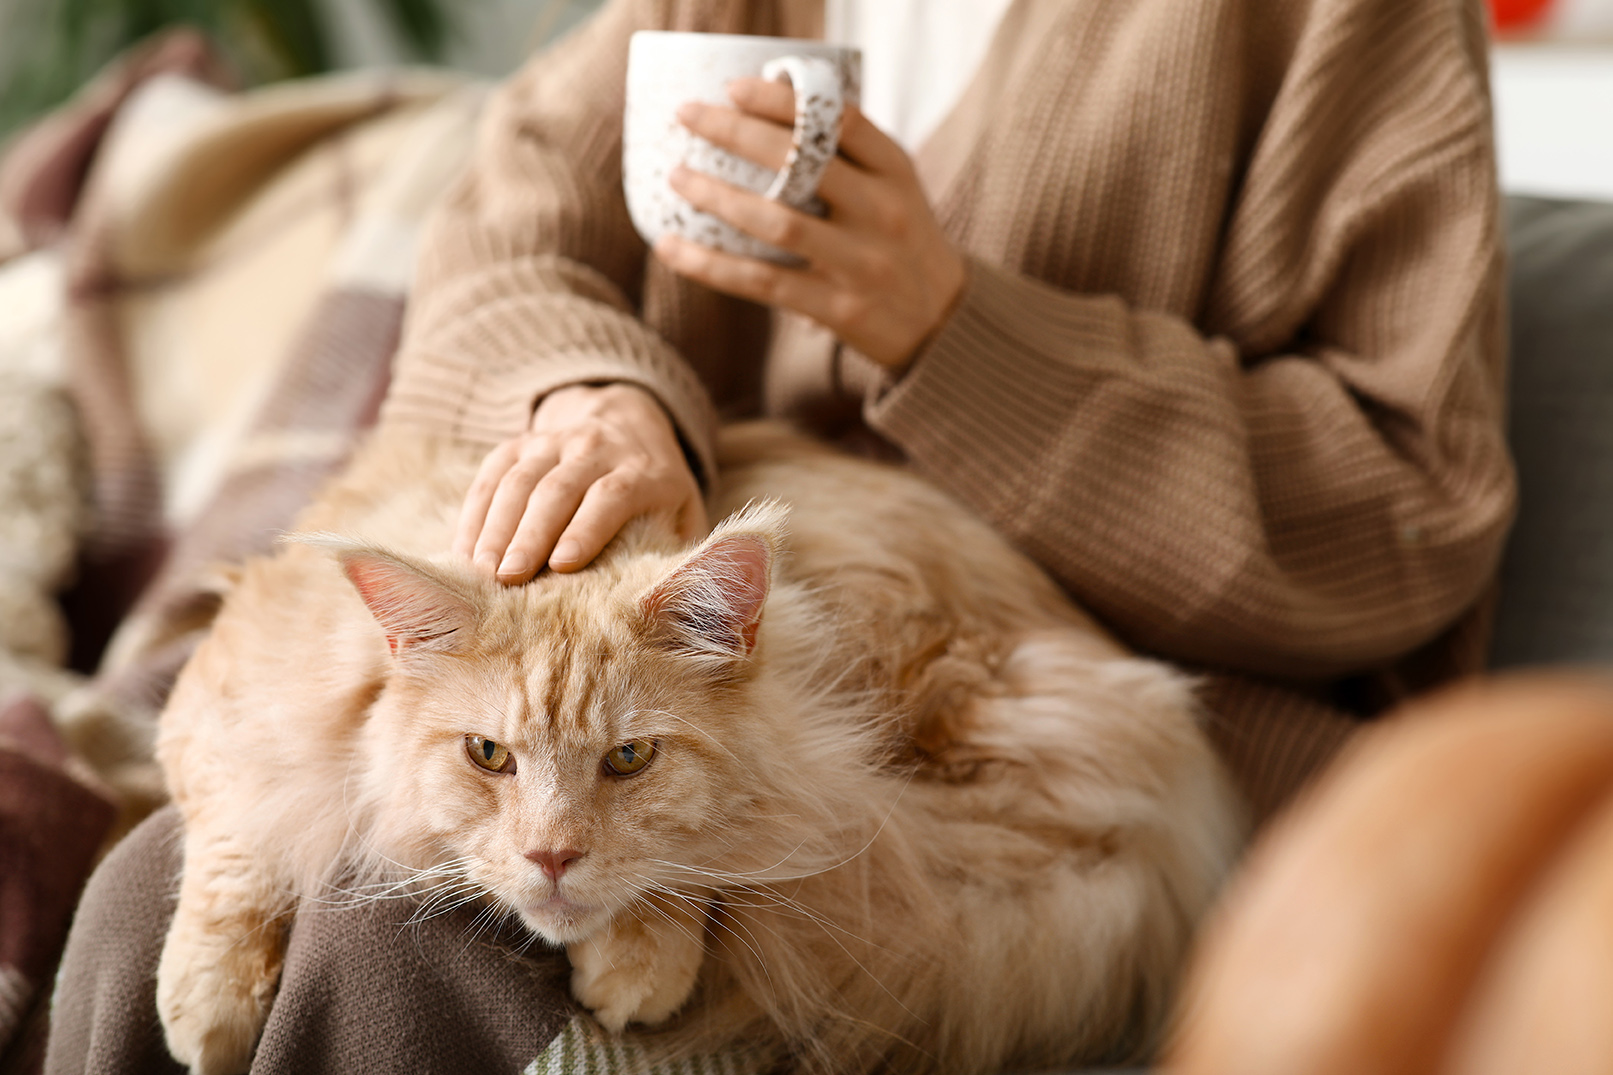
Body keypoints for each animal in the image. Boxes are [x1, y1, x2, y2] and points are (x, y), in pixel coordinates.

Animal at [151, 419, 1238, 1071]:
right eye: (488, 756)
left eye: (630, 760)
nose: (551, 856)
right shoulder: (219, 711)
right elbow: (236, 848)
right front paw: (209, 1003)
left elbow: (689, 865)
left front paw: (638, 961)